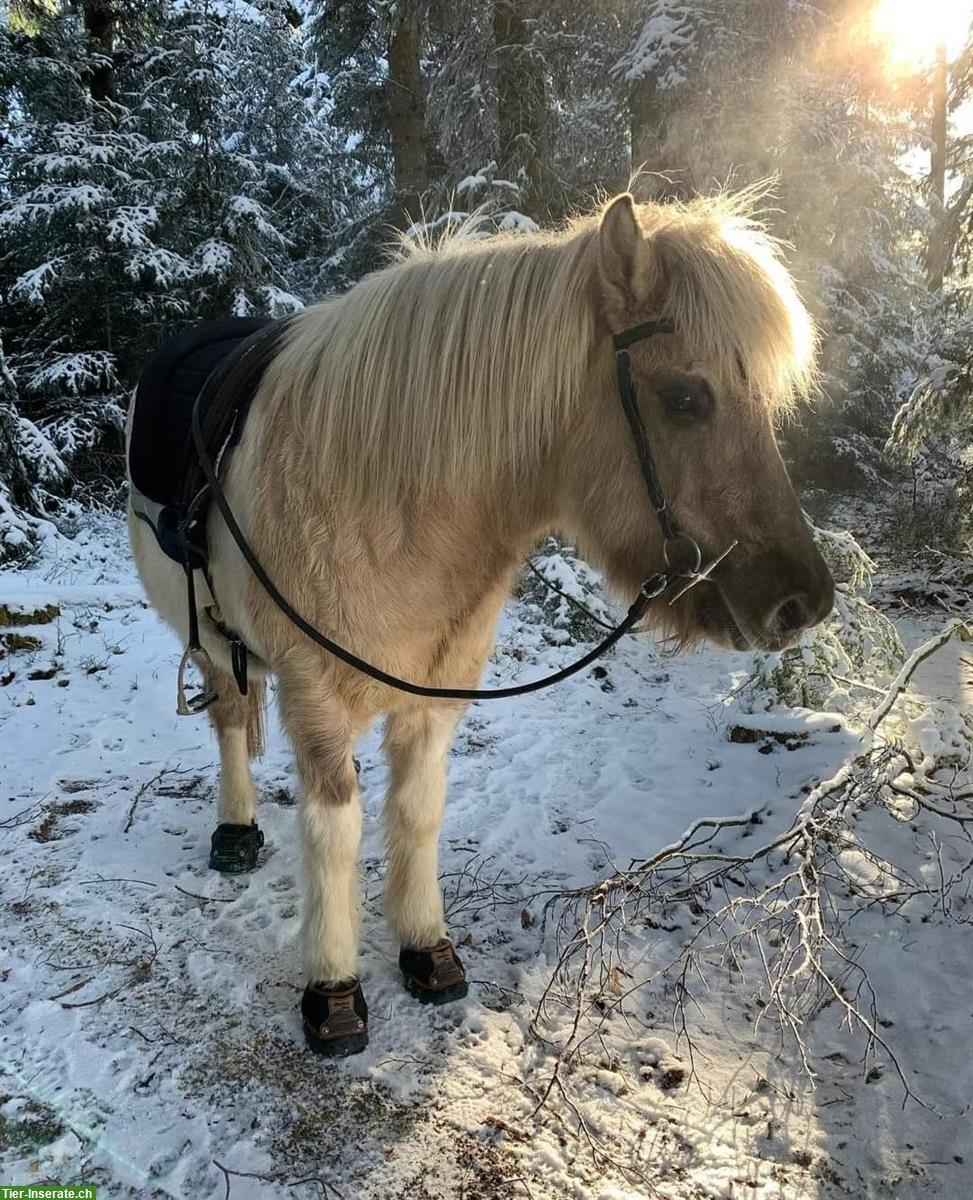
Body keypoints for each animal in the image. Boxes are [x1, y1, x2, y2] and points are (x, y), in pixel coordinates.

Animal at [129, 192, 835, 1056]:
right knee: (230, 717)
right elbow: (334, 830)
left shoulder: (435, 699)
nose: (805, 601)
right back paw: (233, 830)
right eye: (685, 399)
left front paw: (424, 947)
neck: (387, 504)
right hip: (206, 636)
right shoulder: (316, 698)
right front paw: (332, 990)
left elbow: (417, 811)